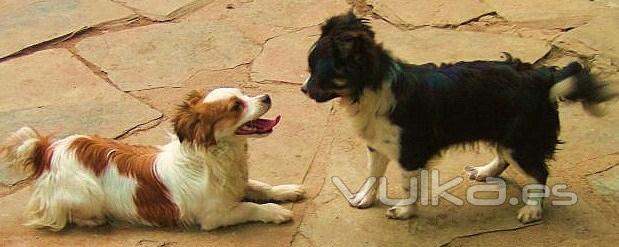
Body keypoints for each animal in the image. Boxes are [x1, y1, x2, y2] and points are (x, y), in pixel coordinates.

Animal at [0, 88, 306, 231]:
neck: (216, 158)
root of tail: (47, 150)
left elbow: (261, 186)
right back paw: (93, 220)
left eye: (244, 93)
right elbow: (251, 207)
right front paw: (275, 212)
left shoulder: (238, 184)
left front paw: (286, 190)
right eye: (236, 106)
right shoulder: (215, 215)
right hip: (87, 193)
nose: (266, 96)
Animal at [300, 12, 616, 224]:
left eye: (320, 74)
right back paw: (485, 172)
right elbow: (373, 174)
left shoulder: (410, 152)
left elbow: (408, 185)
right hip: (504, 132)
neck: (369, 90)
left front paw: (404, 211)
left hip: (520, 140)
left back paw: (532, 210)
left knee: (540, 173)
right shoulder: (378, 144)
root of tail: (543, 76)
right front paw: (365, 198)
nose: (303, 89)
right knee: (504, 157)